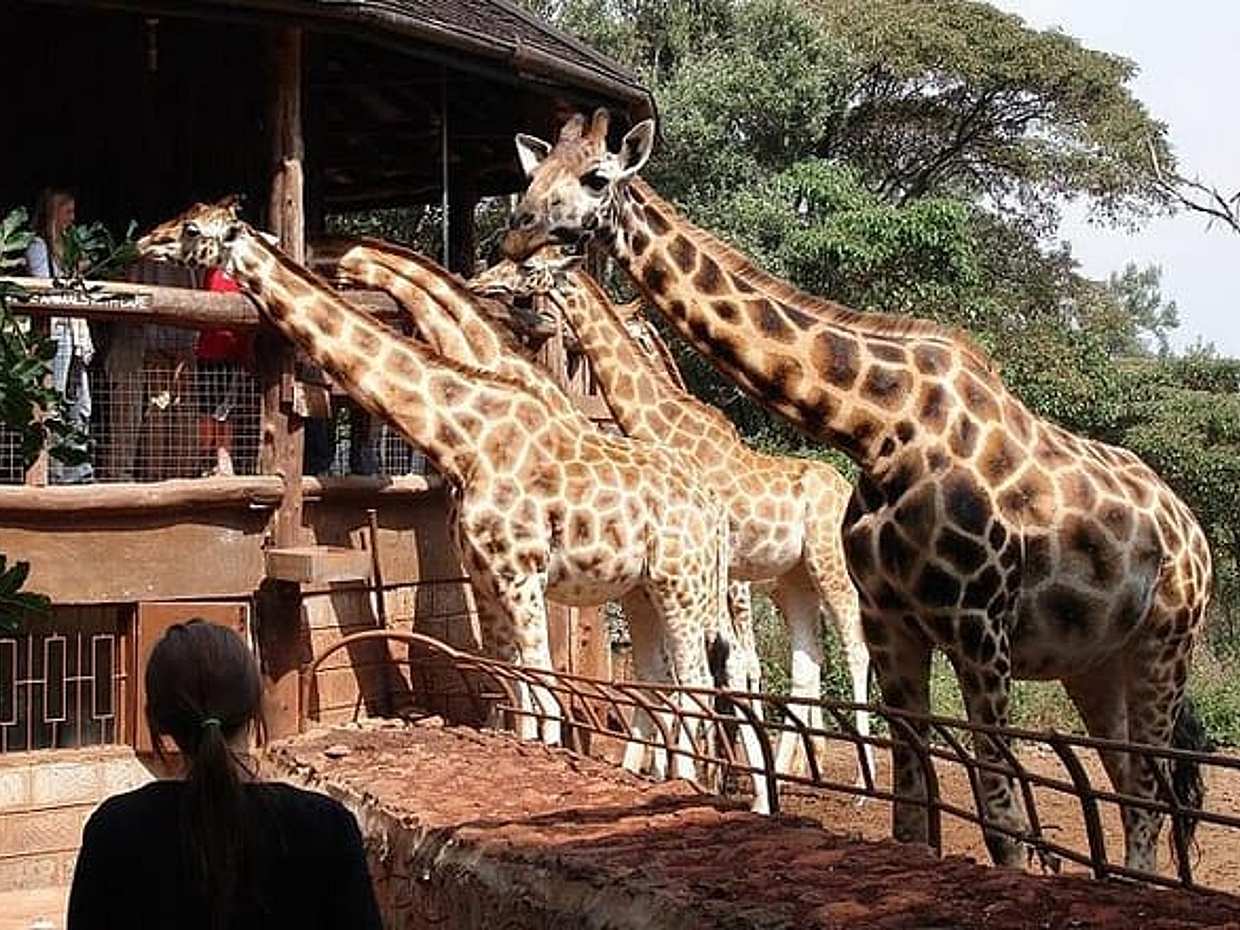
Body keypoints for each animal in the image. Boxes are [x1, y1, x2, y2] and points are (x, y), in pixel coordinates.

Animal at [136, 199, 737, 779]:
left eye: (191, 230)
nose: (142, 241)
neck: (463, 439)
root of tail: (711, 507)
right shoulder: (485, 576)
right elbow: (512, 689)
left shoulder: (522, 573)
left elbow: (544, 694)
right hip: (642, 589)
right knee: (669, 684)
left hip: (683, 585)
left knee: (701, 686)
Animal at [468, 253, 875, 785]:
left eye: (524, 267)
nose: (479, 280)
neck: (666, 429)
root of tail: (847, 491)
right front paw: (678, 766)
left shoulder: (717, 572)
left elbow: (720, 667)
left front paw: (695, 768)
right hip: (793, 581)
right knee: (806, 670)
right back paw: (793, 771)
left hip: (831, 568)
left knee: (855, 650)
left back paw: (859, 784)